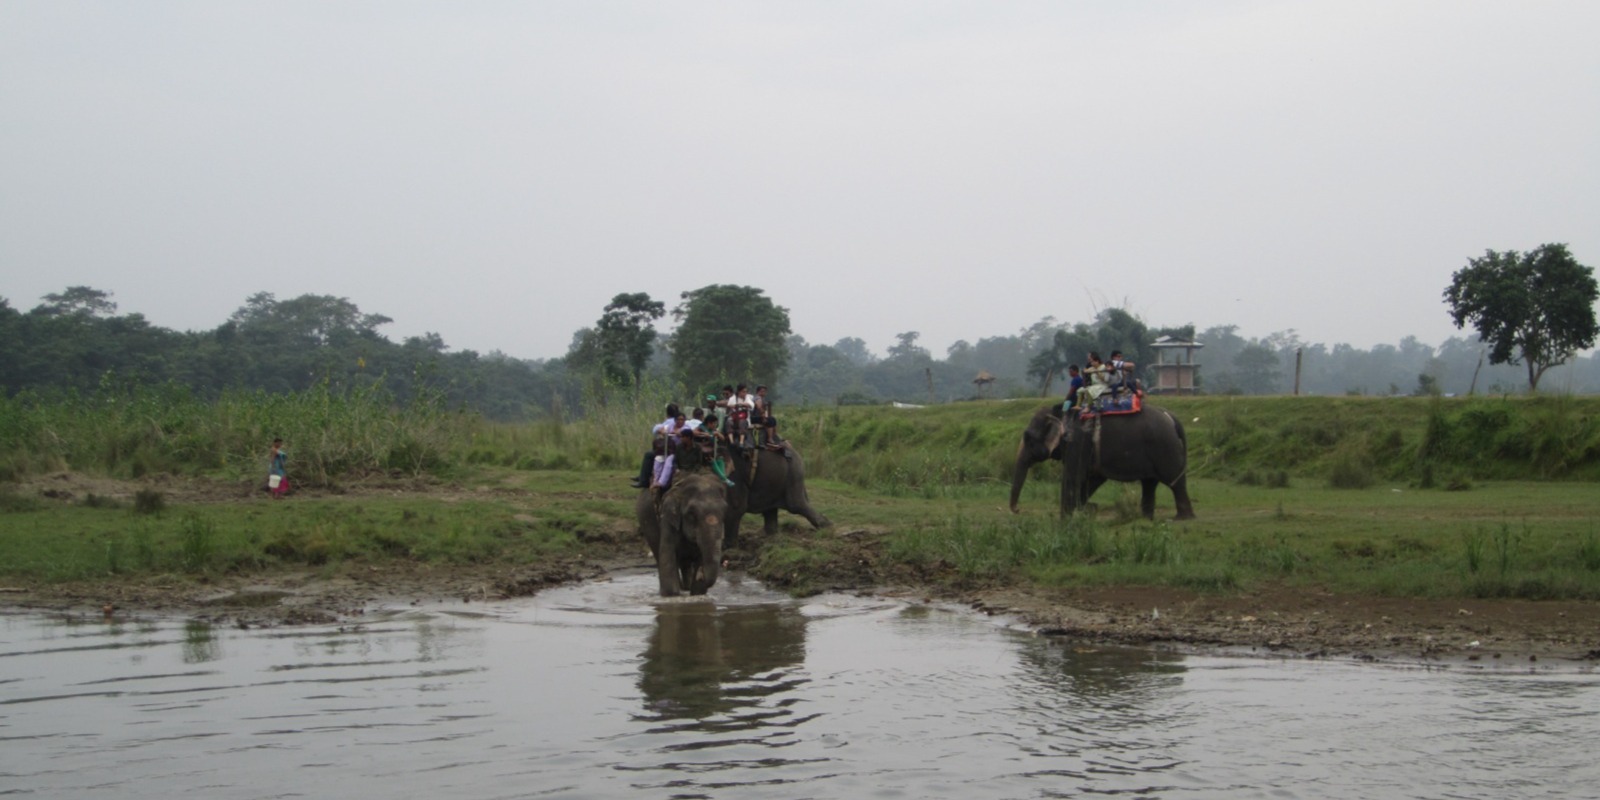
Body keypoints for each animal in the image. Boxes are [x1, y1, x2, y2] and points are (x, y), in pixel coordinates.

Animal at [633, 470, 729, 598]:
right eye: (692, 513)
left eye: (725, 511)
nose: (701, 573)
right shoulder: (667, 518)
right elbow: (667, 555)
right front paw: (670, 595)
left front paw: (697, 593)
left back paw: (686, 587)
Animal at [1004, 403, 1196, 521]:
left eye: (1028, 438)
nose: (1018, 510)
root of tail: (1172, 418)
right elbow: (1093, 478)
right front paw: (1084, 509)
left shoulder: (1078, 442)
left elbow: (1073, 477)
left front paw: (1065, 519)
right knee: (1149, 483)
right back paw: (1146, 519)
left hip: (1165, 448)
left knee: (1174, 482)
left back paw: (1181, 518)